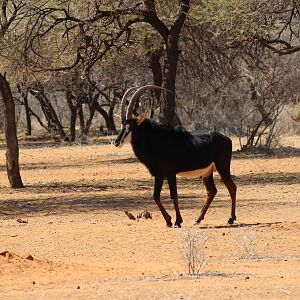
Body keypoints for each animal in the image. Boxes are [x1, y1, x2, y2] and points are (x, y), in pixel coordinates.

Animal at [115, 85, 237, 227]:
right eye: (122, 125)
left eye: (130, 126)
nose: (117, 142)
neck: (155, 140)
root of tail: (227, 139)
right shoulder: (159, 175)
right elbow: (155, 196)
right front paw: (168, 220)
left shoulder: (170, 173)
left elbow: (174, 195)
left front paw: (178, 221)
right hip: (207, 173)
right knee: (211, 191)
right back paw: (198, 219)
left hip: (222, 168)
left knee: (232, 188)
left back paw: (231, 218)